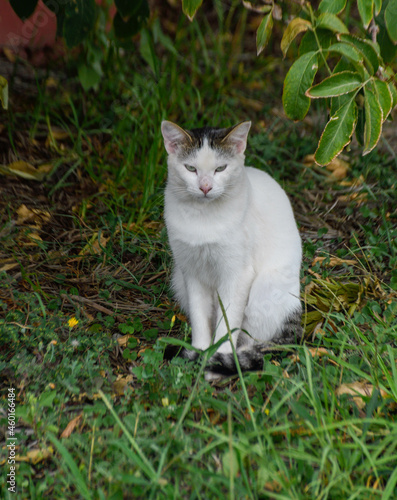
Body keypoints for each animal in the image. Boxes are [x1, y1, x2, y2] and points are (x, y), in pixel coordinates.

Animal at [159, 120, 302, 378]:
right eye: (191, 168)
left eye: (220, 168)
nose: (205, 187)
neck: (203, 218)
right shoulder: (190, 272)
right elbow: (199, 317)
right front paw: (200, 351)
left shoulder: (238, 275)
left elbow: (228, 324)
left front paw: (218, 358)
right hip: (178, 281)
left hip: (263, 291)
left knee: (255, 343)